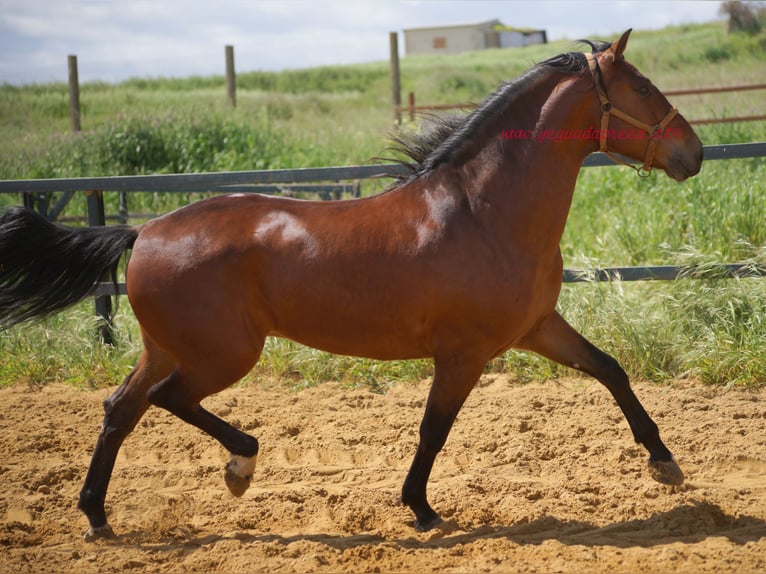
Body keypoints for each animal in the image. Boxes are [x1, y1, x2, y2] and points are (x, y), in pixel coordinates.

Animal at [0, 29, 702, 540]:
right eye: (642, 86)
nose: (693, 154)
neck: (484, 211)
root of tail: (143, 230)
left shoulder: (536, 328)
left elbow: (610, 369)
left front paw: (665, 463)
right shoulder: (465, 353)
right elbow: (433, 429)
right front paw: (421, 509)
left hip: (168, 347)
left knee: (120, 409)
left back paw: (97, 518)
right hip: (223, 354)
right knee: (164, 400)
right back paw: (240, 465)